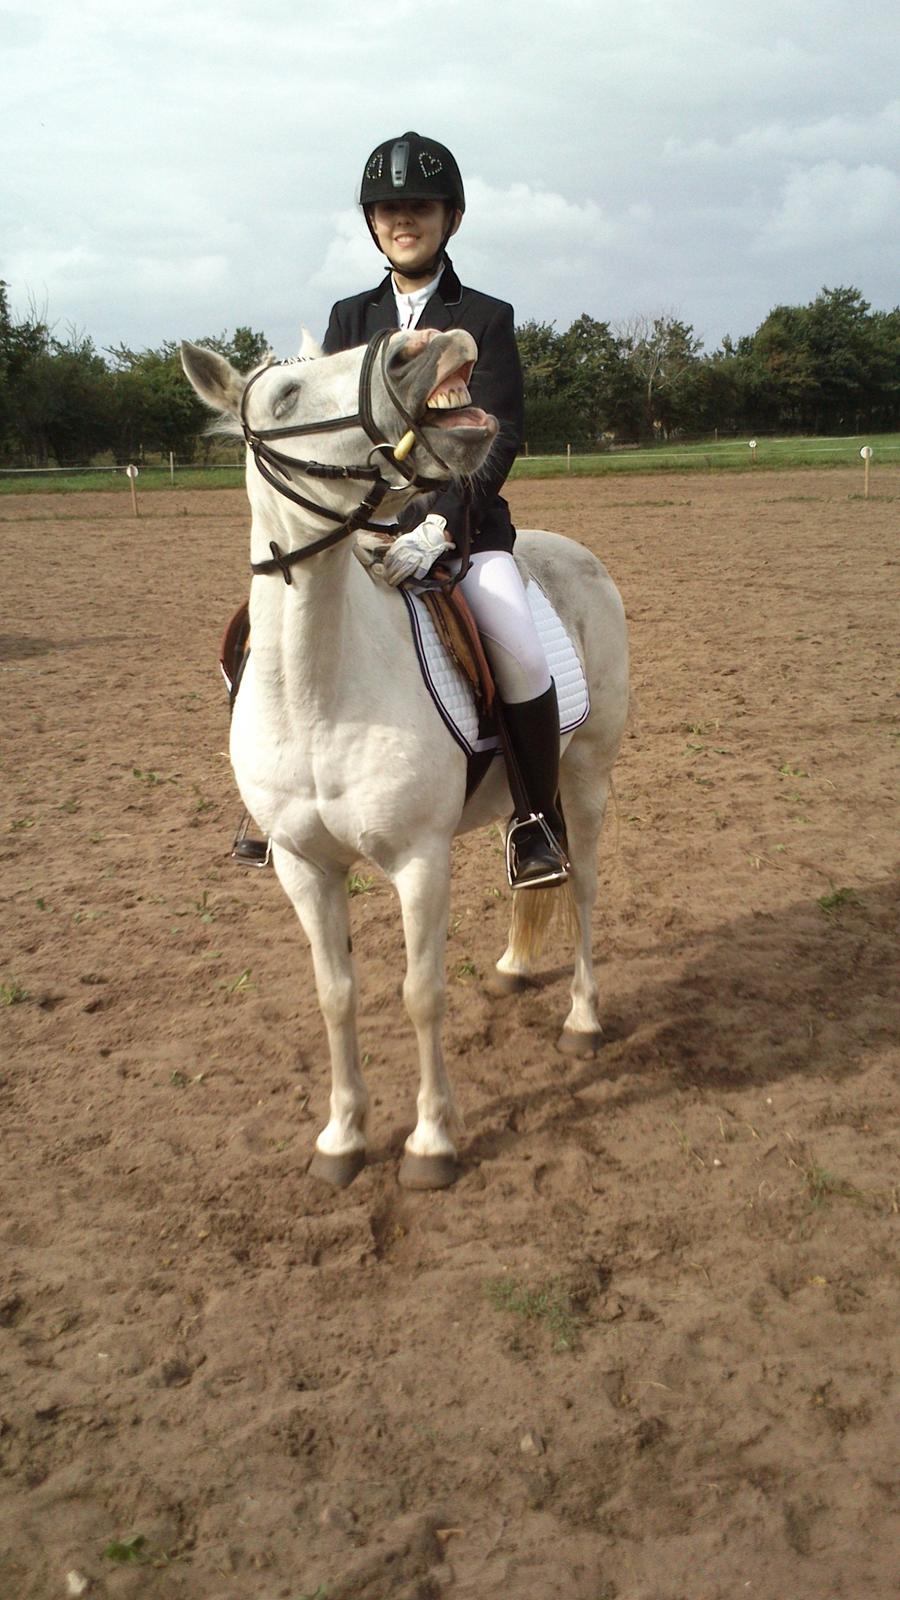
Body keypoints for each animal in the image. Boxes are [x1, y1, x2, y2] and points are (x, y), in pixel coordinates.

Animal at [180, 324, 630, 1190]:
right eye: (284, 397)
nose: (431, 346)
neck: (319, 693)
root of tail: (573, 552)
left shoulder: (419, 861)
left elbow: (421, 993)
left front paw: (430, 1142)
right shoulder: (304, 867)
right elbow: (335, 993)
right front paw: (342, 1137)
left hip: (590, 771)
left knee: (586, 887)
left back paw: (584, 1018)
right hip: (524, 790)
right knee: (529, 855)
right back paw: (516, 963)